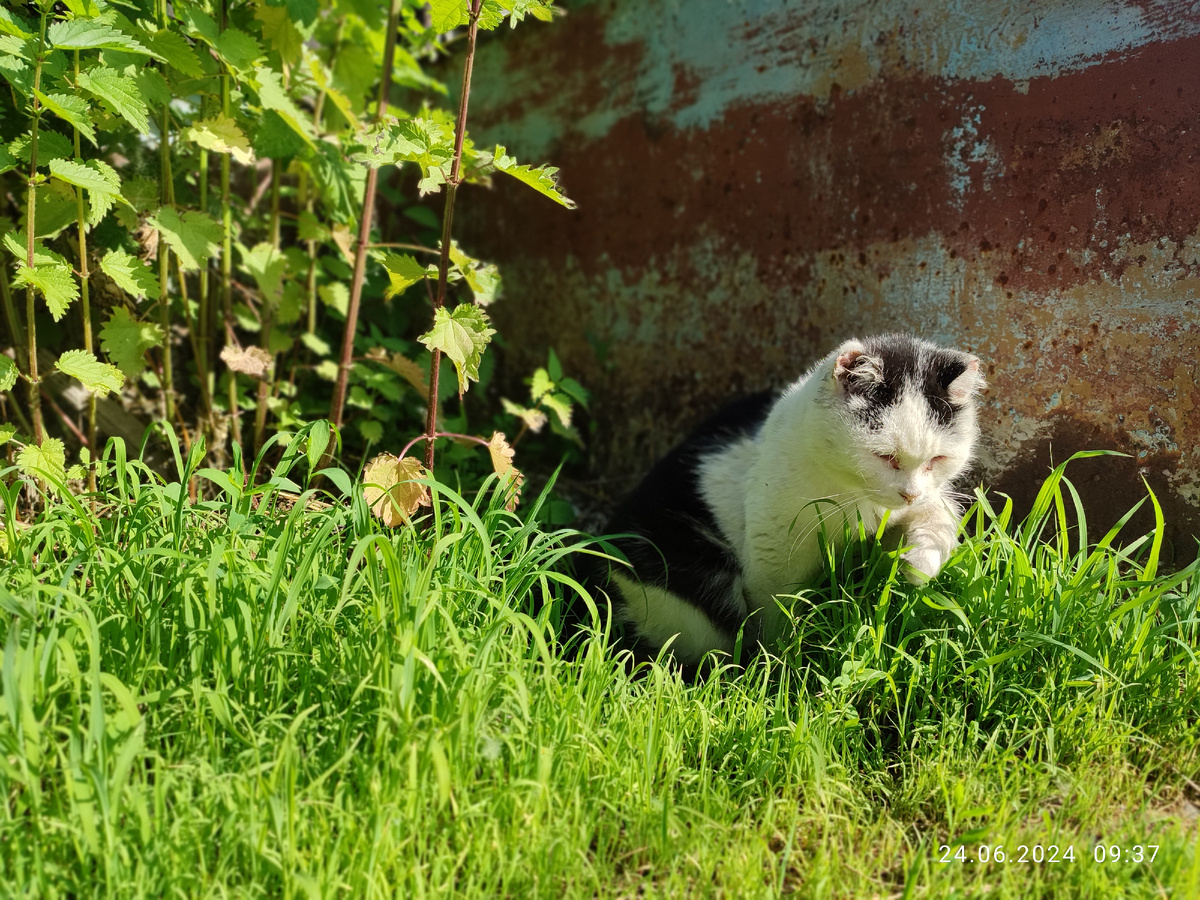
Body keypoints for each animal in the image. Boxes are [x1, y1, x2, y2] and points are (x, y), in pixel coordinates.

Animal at [590, 333, 984, 672]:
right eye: (884, 457)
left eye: (937, 459)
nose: (909, 493)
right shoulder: (774, 556)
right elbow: (777, 611)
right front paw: (779, 666)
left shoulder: (928, 498)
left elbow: (939, 518)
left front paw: (918, 566)